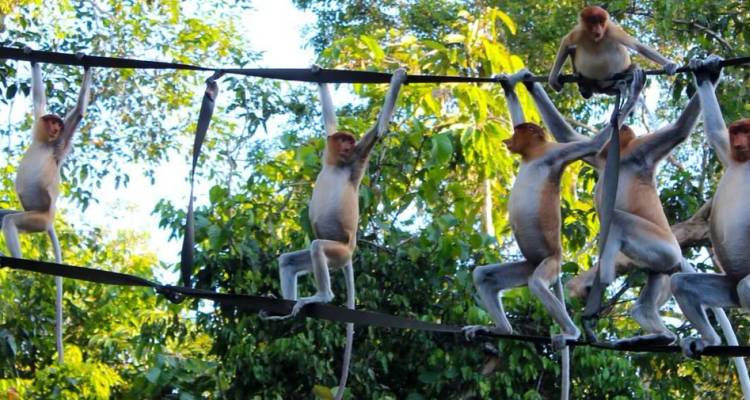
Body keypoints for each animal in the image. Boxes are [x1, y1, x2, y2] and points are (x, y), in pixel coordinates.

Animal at [1, 58, 93, 363]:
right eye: (50, 120)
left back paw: (17, 264)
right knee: (3, 217)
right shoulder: (39, 125)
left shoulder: (61, 143)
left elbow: (79, 113)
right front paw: (31, 56)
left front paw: (87, 67)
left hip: (38, 219)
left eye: (58, 123)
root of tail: (51, 221)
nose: (54, 126)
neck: (45, 142)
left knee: (12, 222)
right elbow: (38, 99)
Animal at [262, 69, 406, 400]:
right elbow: (329, 119)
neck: (337, 164)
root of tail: (351, 251)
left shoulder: (357, 158)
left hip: (337, 251)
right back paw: (285, 310)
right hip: (333, 256)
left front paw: (399, 75)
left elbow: (380, 129)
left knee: (317, 247)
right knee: (288, 260)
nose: (346, 145)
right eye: (342, 139)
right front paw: (318, 76)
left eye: (351, 141)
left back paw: (319, 296)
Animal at [548, 5, 678, 98]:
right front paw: (552, 80)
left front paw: (670, 65)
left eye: (601, 22)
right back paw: (581, 80)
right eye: (593, 22)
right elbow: (566, 43)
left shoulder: (611, 30)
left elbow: (638, 46)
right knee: (572, 49)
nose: (598, 30)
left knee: (632, 69)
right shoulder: (580, 32)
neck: (596, 40)